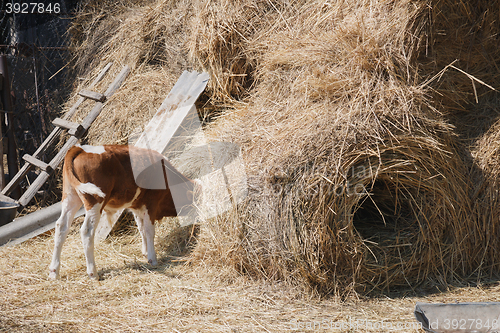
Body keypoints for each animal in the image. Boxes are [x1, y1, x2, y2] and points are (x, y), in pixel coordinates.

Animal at [48, 144, 200, 278]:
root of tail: (79, 148)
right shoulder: (151, 204)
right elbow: (150, 231)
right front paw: (153, 258)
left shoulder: (138, 206)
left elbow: (141, 229)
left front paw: (145, 252)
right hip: (94, 201)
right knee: (87, 231)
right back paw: (92, 272)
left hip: (71, 197)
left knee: (61, 226)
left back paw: (54, 272)